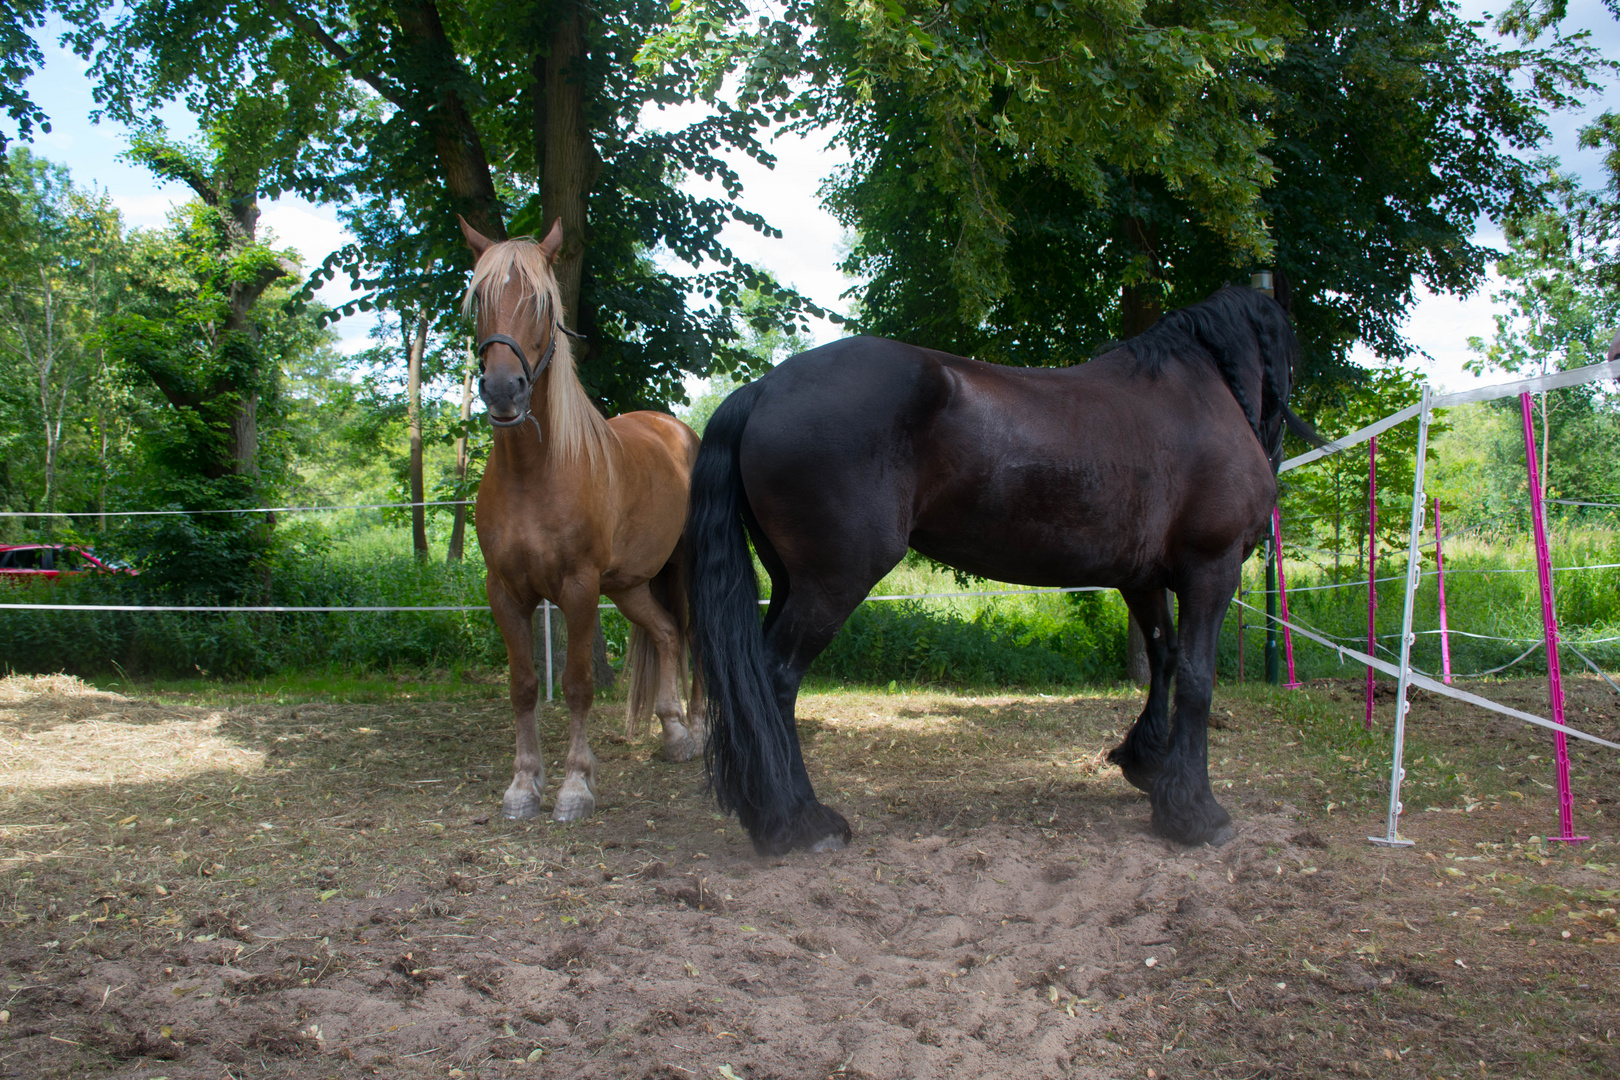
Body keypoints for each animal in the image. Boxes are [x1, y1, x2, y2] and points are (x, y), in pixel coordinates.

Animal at [460, 221, 706, 829]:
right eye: (480, 298)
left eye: (543, 303)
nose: (504, 389)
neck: (535, 474)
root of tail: (678, 430)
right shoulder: (505, 592)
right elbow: (524, 686)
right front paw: (523, 785)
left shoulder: (577, 588)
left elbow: (576, 686)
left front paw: (575, 786)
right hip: (630, 584)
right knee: (667, 634)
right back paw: (674, 733)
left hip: (682, 569)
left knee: (694, 636)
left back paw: (701, 729)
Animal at [683, 284, 1315, 854]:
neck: (1203, 394)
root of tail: (764, 388)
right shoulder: (1211, 566)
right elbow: (1198, 678)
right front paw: (1196, 813)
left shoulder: (1142, 578)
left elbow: (1163, 658)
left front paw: (1148, 765)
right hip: (833, 583)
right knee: (775, 679)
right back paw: (799, 824)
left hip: (791, 582)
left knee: (756, 683)